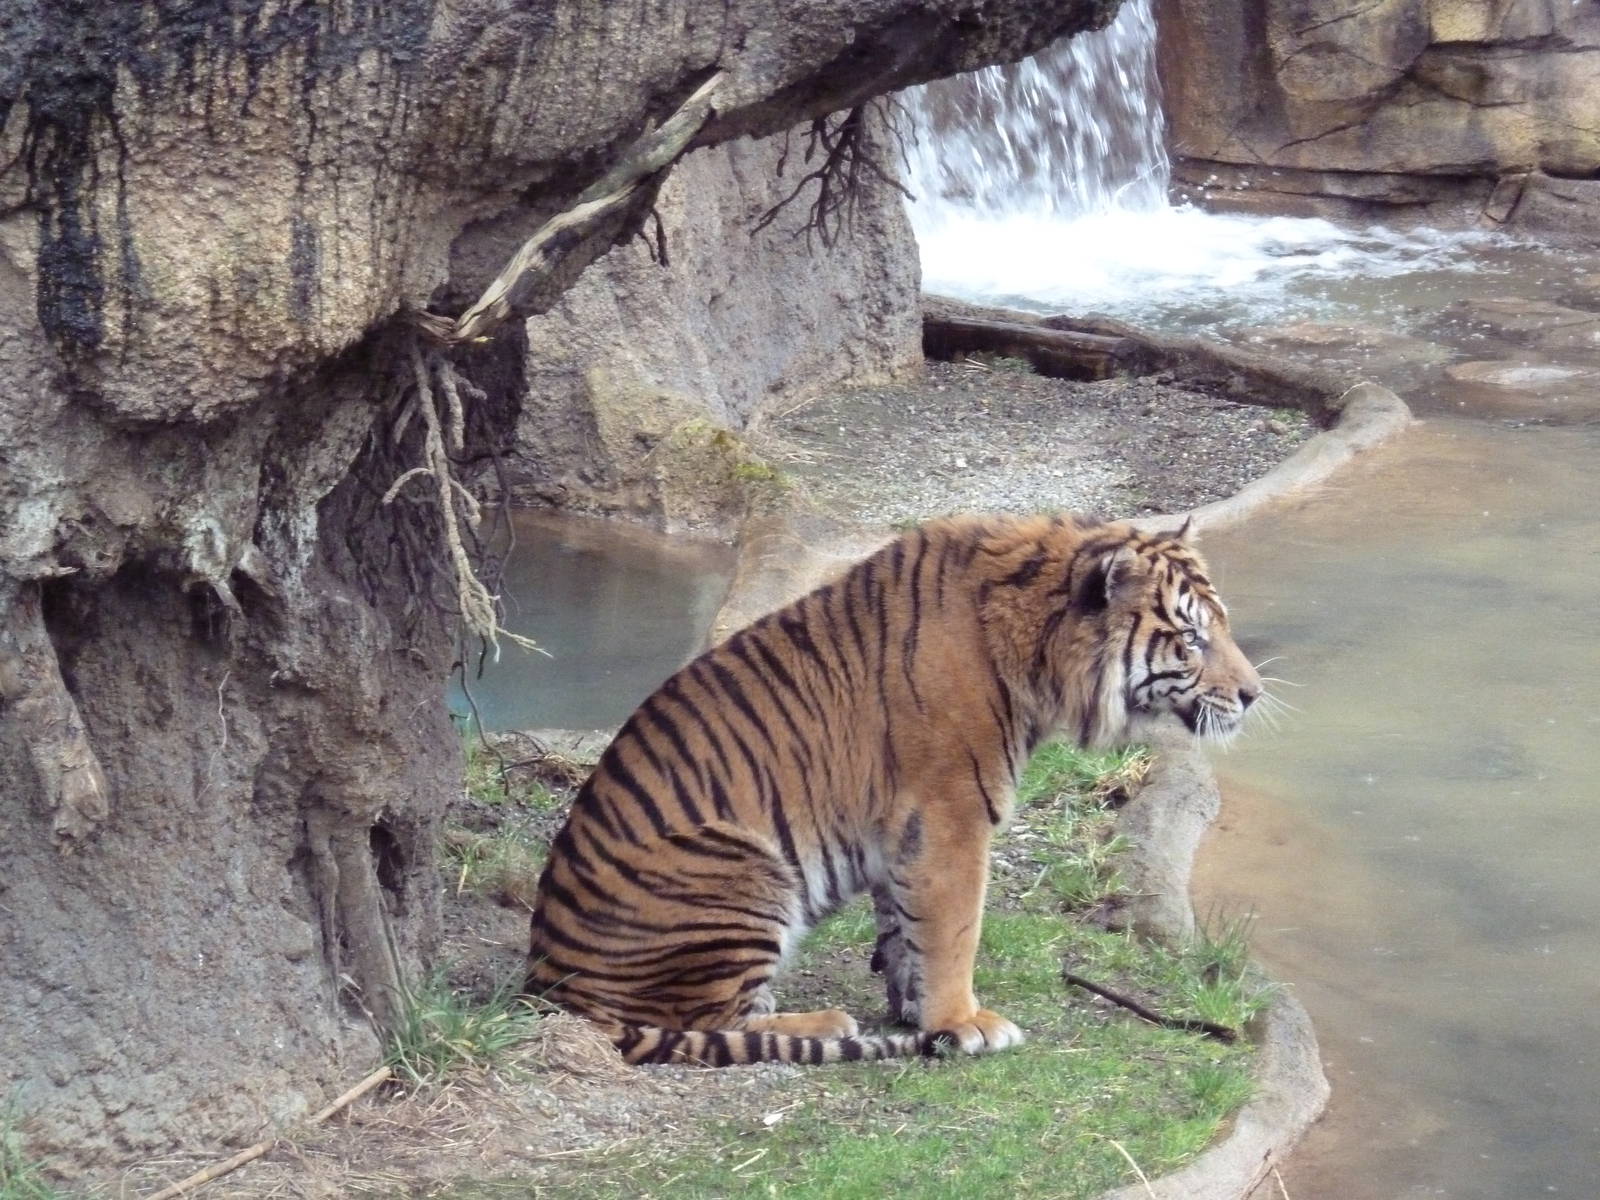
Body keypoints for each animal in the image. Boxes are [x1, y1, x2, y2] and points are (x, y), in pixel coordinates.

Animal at [525, 513, 1261, 1065]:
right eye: (1191, 639)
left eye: (1221, 627)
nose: (1254, 695)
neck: (1034, 653)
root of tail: (548, 981)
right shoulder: (950, 815)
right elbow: (955, 927)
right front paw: (963, 1021)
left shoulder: (901, 832)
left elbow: (906, 926)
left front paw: (915, 1009)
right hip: (741, 861)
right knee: (707, 1022)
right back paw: (821, 1023)